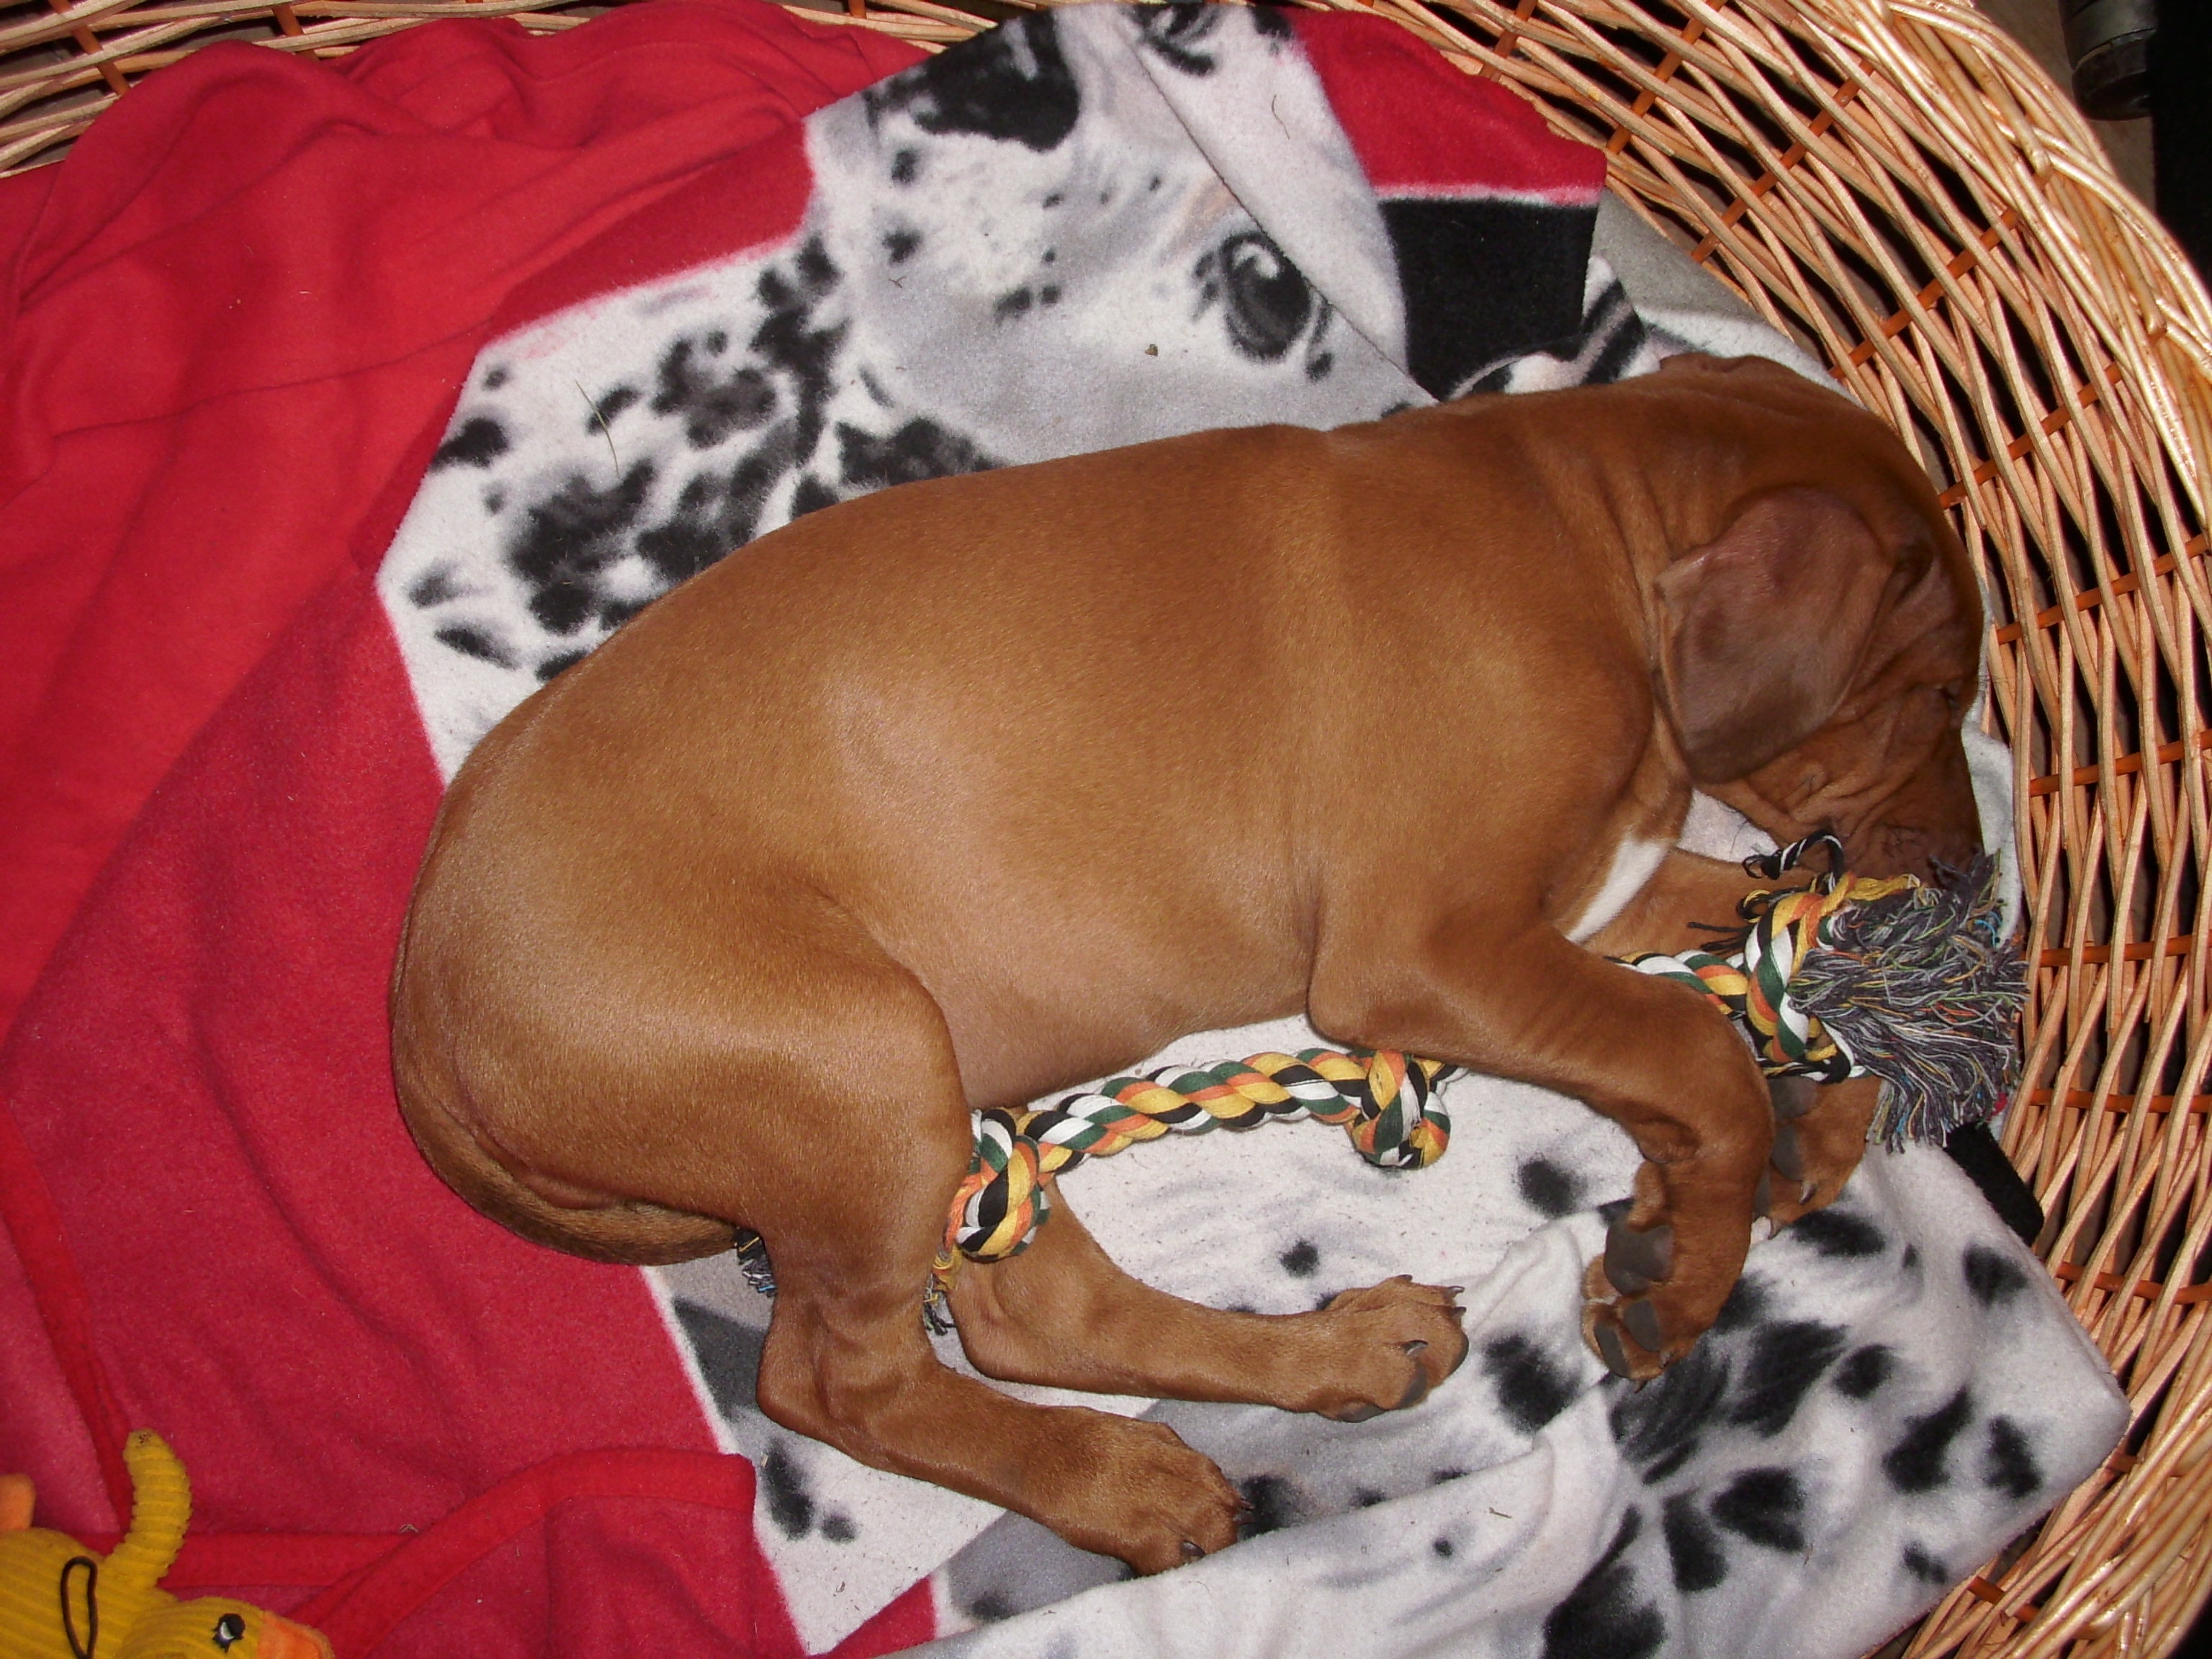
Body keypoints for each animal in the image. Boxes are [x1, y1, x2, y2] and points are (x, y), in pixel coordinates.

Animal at [389, 353, 1985, 1574]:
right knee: (839, 1378)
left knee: (1030, 1315)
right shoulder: (1431, 945)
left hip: (925, 1078)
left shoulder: (1590, 901)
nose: (1972, 871)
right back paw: (1121, 1481)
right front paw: (1692, 1265)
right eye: (1939, 690)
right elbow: (1697, 1054)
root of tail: (419, 991)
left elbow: (1771, 968)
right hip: (857, 1061)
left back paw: (1334, 1361)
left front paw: (1816, 1116)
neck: (1587, 524)